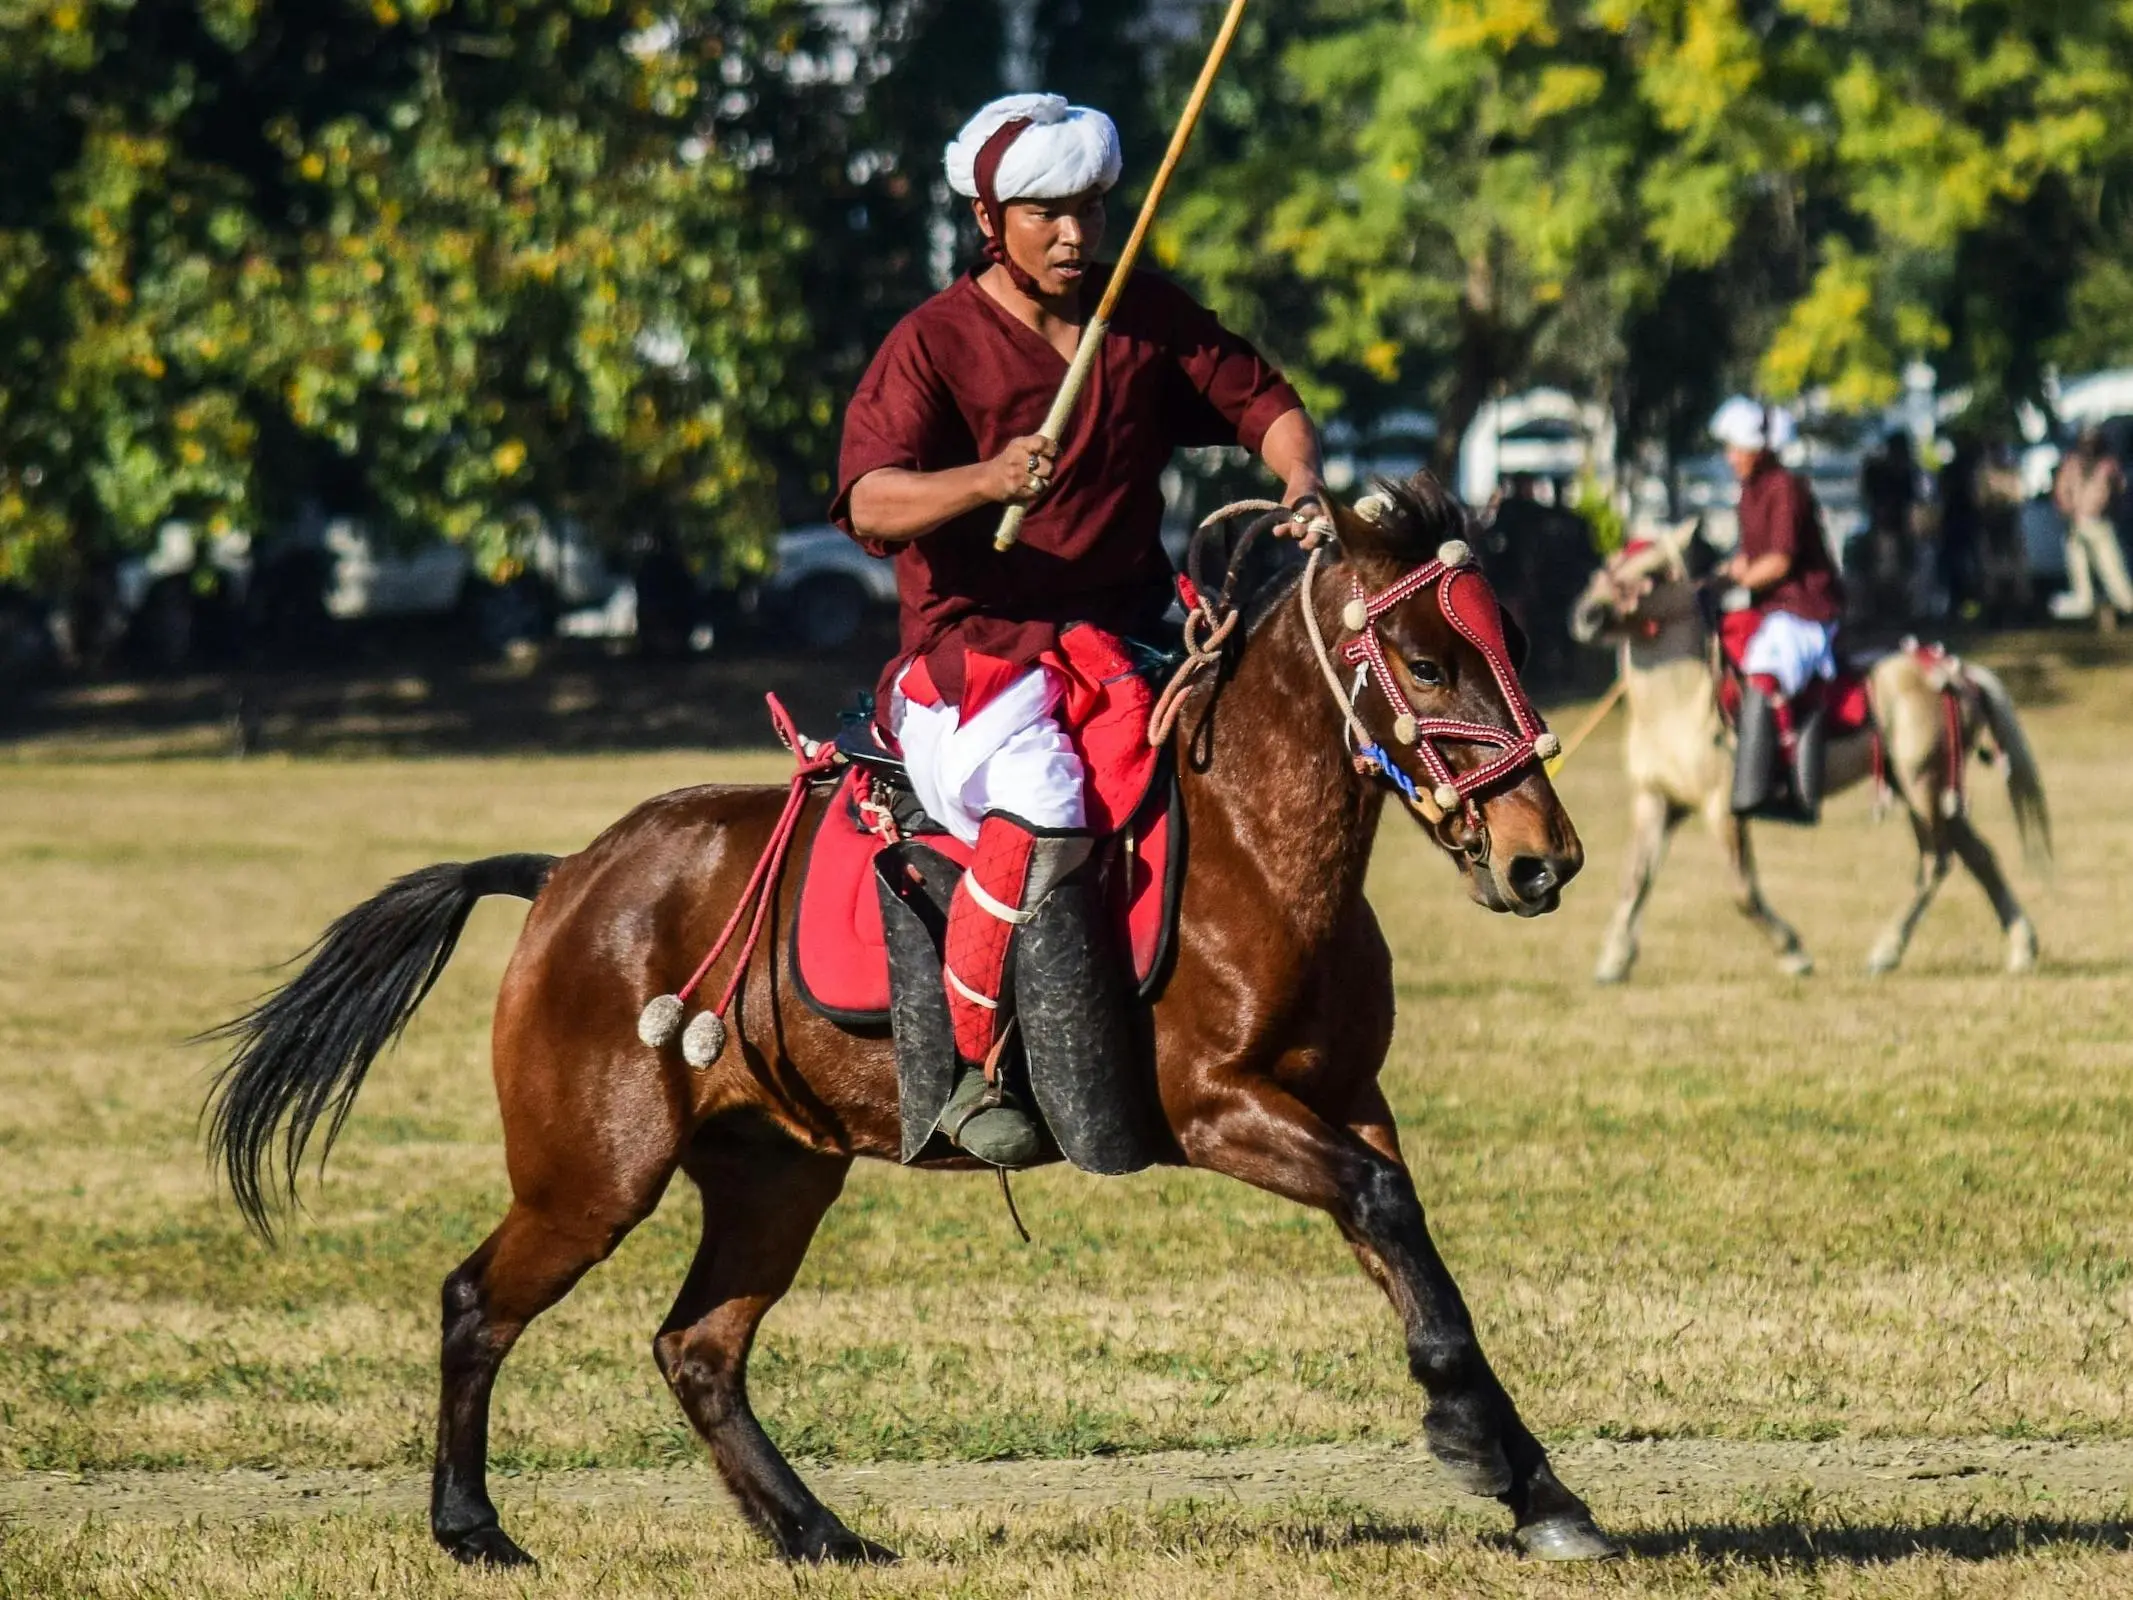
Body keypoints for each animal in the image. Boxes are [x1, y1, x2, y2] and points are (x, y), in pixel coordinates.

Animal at [212, 473, 1612, 1570]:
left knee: (697, 1347)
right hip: (591, 1175)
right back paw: (474, 1527)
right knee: (476, 1304)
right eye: (1426, 662)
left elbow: (1403, 1237)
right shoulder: (1219, 1108)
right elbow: (1382, 1210)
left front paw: (1530, 1479)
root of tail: (564, 877)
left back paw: (816, 1530)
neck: (1255, 843)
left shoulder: (1343, 1098)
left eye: (1516, 639)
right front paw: (1485, 1446)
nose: (1544, 858)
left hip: (775, 1171)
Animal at [1569, 520, 2047, 985]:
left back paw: (1886, 951)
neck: (1677, 706)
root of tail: (1955, 672)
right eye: (1608, 565)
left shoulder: (1721, 809)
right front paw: (1614, 960)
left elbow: (1742, 891)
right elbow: (1635, 880)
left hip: (1922, 785)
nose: (1587, 616)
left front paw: (1793, 953)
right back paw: (2021, 948)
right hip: (1927, 786)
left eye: (1652, 574)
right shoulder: (1654, 801)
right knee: (1979, 856)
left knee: (1936, 862)